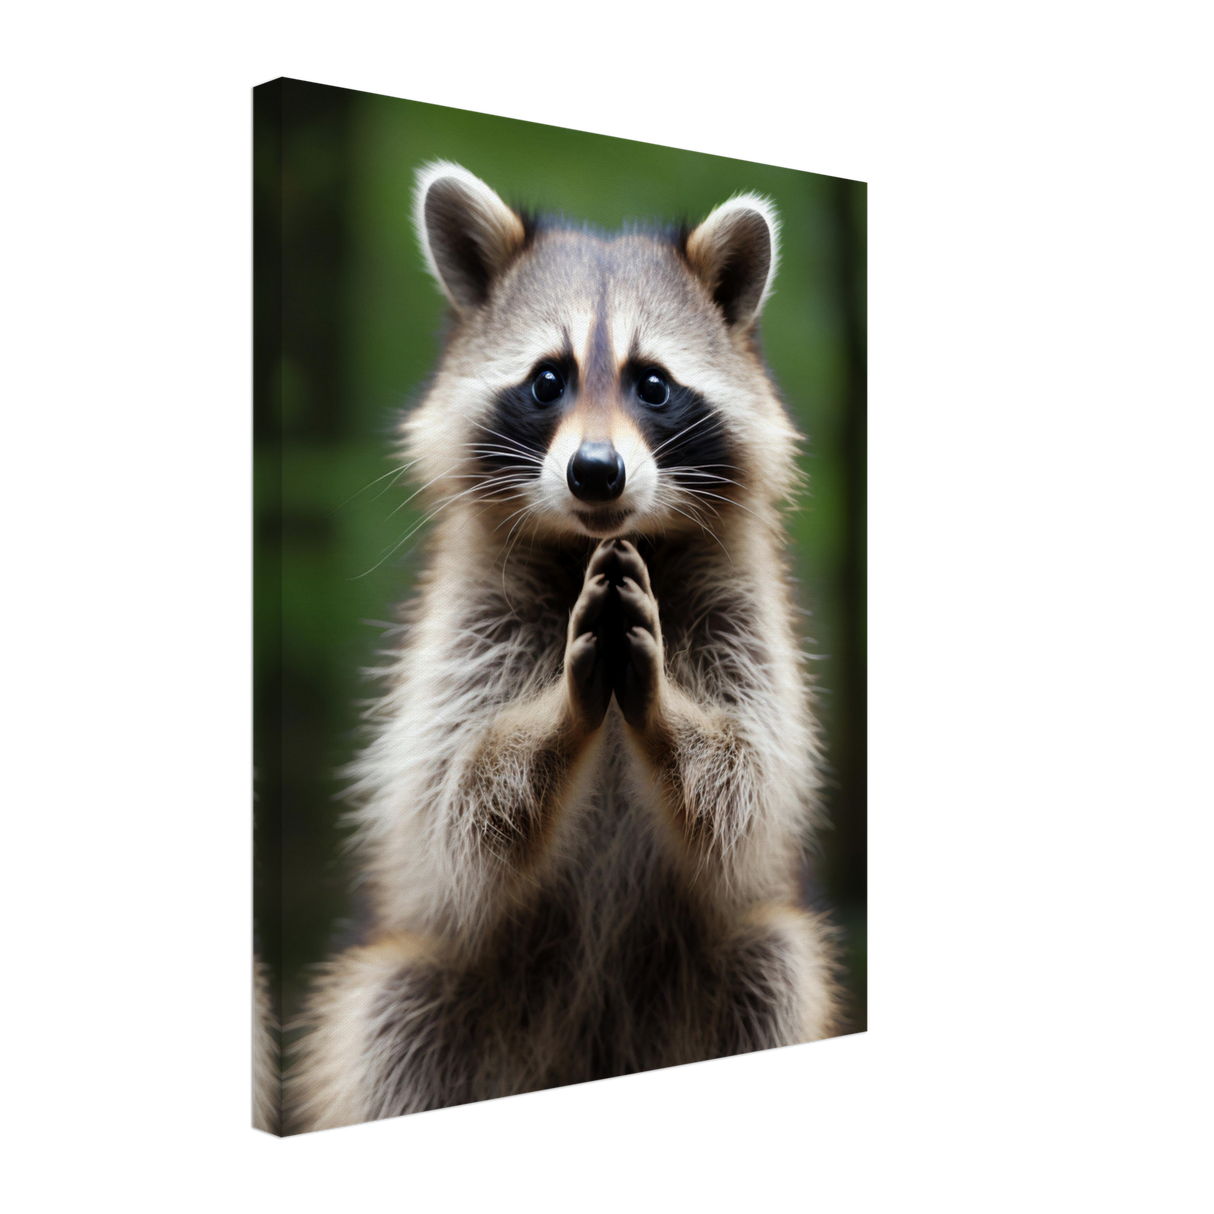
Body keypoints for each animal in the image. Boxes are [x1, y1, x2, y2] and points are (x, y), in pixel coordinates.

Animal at [286, 161, 843, 1133]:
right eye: (548, 379)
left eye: (652, 384)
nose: (595, 472)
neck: (598, 544)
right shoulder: (465, 621)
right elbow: (455, 799)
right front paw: (555, 717)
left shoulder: (745, 611)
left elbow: (747, 783)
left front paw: (666, 715)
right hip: (427, 986)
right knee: (390, 1018)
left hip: (740, 966)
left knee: (773, 963)